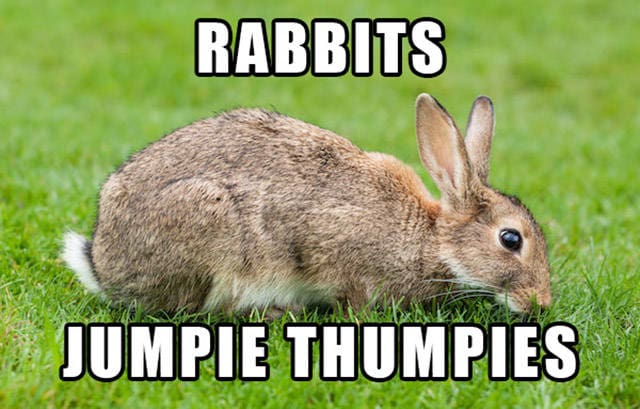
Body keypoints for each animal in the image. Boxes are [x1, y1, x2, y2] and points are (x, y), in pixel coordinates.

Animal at [62, 94, 551, 316]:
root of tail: (102, 264)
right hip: (209, 228)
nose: (541, 303)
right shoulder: (337, 251)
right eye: (511, 239)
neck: (432, 240)